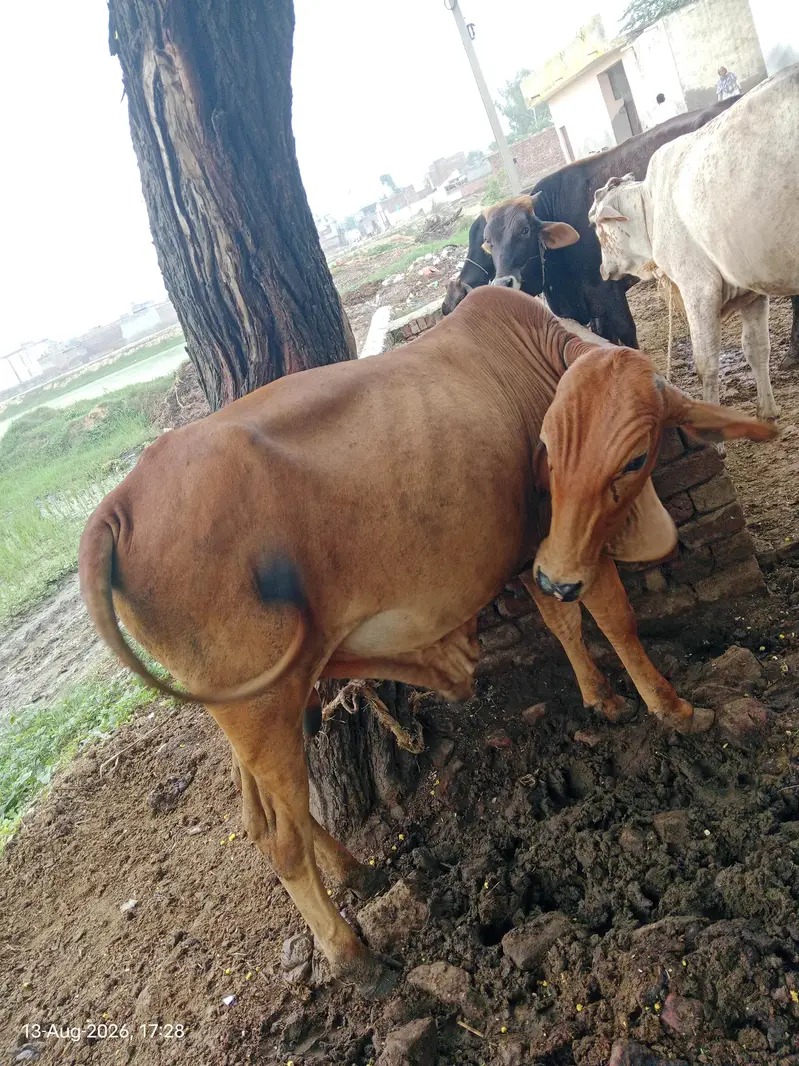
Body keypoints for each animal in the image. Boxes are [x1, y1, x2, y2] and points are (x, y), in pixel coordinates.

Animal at [78, 287, 775, 1000]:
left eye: (633, 460)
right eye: (549, 448)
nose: (559, 572)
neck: (542, 353)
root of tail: (114, 508)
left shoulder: (540, 551)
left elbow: (562, 623)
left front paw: (600, 698)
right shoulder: (565, 544)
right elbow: (613, 618)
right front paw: (675, 710)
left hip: (251, 708)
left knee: (266, 818)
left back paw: (355, 869)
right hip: (262, 702)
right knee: (281, 844)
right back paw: (352, 956)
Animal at [589, 65, 799, 421]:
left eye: (599, 229)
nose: (603, 269)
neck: (651, 208)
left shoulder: (698, 288)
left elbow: (706, 364)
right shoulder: (751, 291)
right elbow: (757, 348)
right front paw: (768, 411)